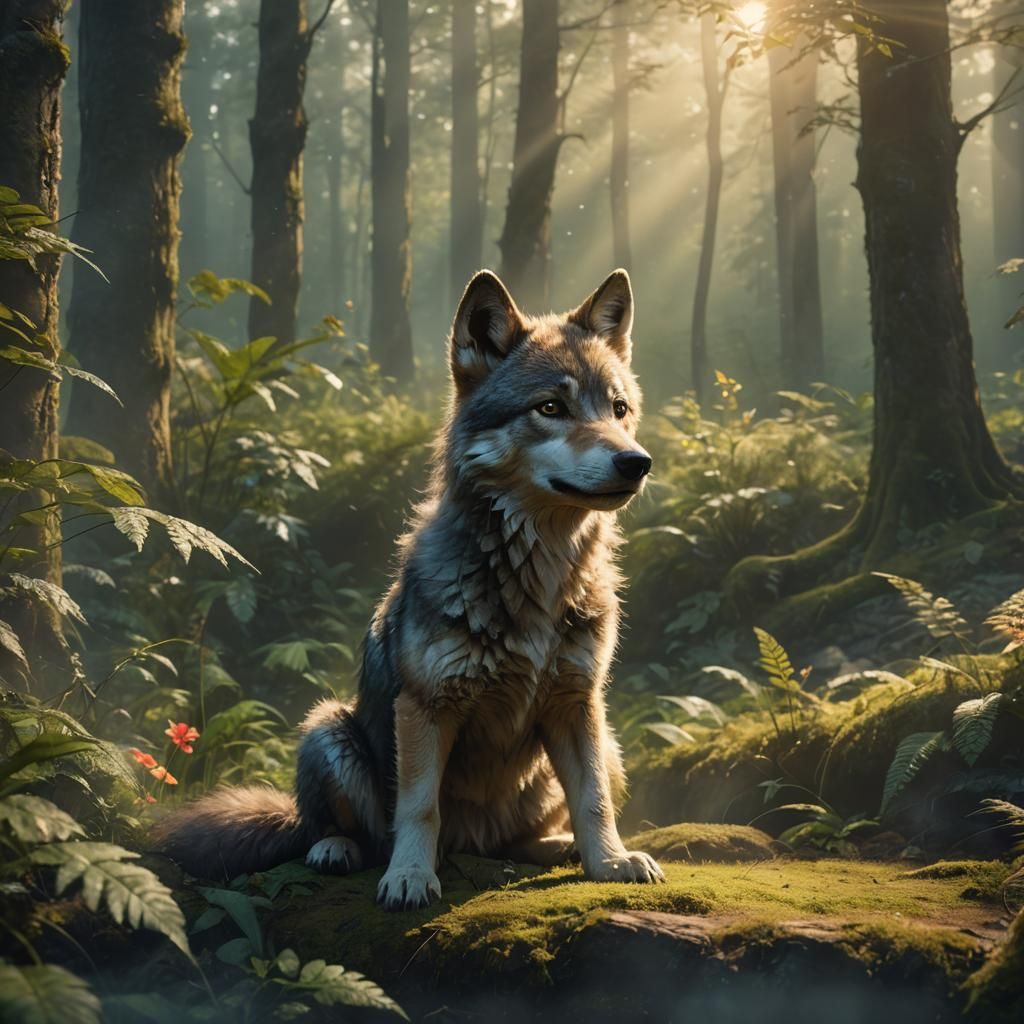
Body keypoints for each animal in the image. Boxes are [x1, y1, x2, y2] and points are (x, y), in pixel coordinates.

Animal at [154, 268, 664, 909]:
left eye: (619, 409)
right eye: (551, 407)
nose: (637, 462)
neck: (538, 575)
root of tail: (473, 841)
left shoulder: (579, 704)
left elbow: (594, 800)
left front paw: (611, 862)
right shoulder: (425, 706)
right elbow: (419, 809)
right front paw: (411, 878)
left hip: (607, 743)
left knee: (519, 837)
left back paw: (557, 847)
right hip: (326, 728)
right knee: (344, 832)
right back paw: (336, 850)